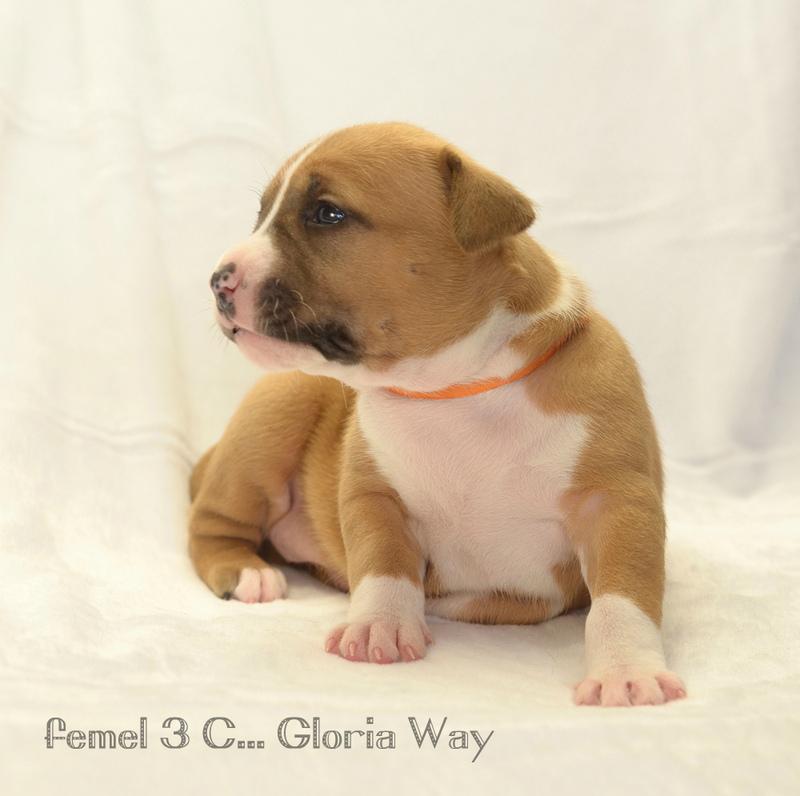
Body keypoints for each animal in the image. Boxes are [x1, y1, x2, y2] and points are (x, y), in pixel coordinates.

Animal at [188, 122, 686, 707]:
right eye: (262, 212)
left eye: (327, 213)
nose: (218, 279)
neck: (457, 387)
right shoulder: (375, 494)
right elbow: (384, 563)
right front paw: (377, 626)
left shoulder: (615, 503)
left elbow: (623, 596)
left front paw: (626, 672)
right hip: (273, 415)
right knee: (210, 522)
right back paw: (246, 569)